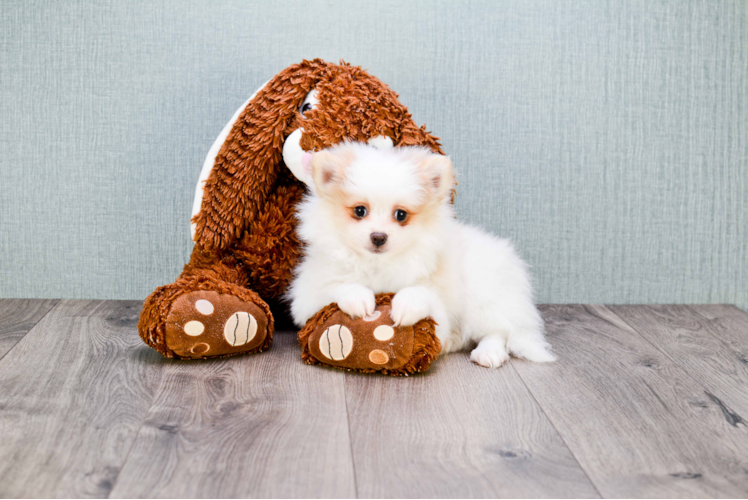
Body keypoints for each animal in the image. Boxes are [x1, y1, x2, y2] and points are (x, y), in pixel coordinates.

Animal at [286, 142, 556, 368]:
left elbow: (422, 292)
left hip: (482, 296)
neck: (378, 264)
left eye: (401, 215)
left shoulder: (441, 306)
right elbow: (337, 285)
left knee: (498, 330)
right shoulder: (306, 297)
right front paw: (358, 298)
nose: (378, 237)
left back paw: (488, 353)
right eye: (360, 211)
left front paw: (407, 305)